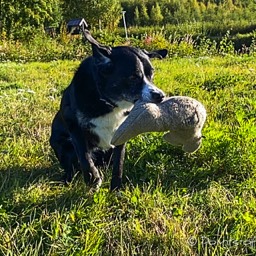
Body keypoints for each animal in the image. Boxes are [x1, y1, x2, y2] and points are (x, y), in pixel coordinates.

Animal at [49, 30, 168, 190]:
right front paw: (93, 180)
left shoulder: (121, 133)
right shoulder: (75, 128)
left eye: (151, 74)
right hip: (62, 144)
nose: (160, 96)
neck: (109, 103)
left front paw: (115, 188)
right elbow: (85, 158)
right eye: (133, 77)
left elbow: (119, 164)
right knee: (71, 167)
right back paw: (67, 179)